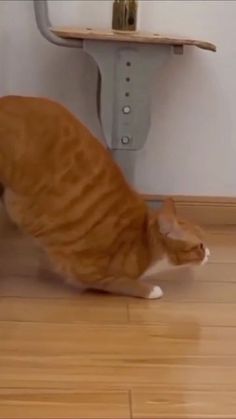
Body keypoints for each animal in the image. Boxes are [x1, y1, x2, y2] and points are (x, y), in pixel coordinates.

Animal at [0, 96, 209, 298]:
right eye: (199, 246)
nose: (209, 253)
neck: (145, 244)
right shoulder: (93, 277)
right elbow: (127, 284)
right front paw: (151, 290)